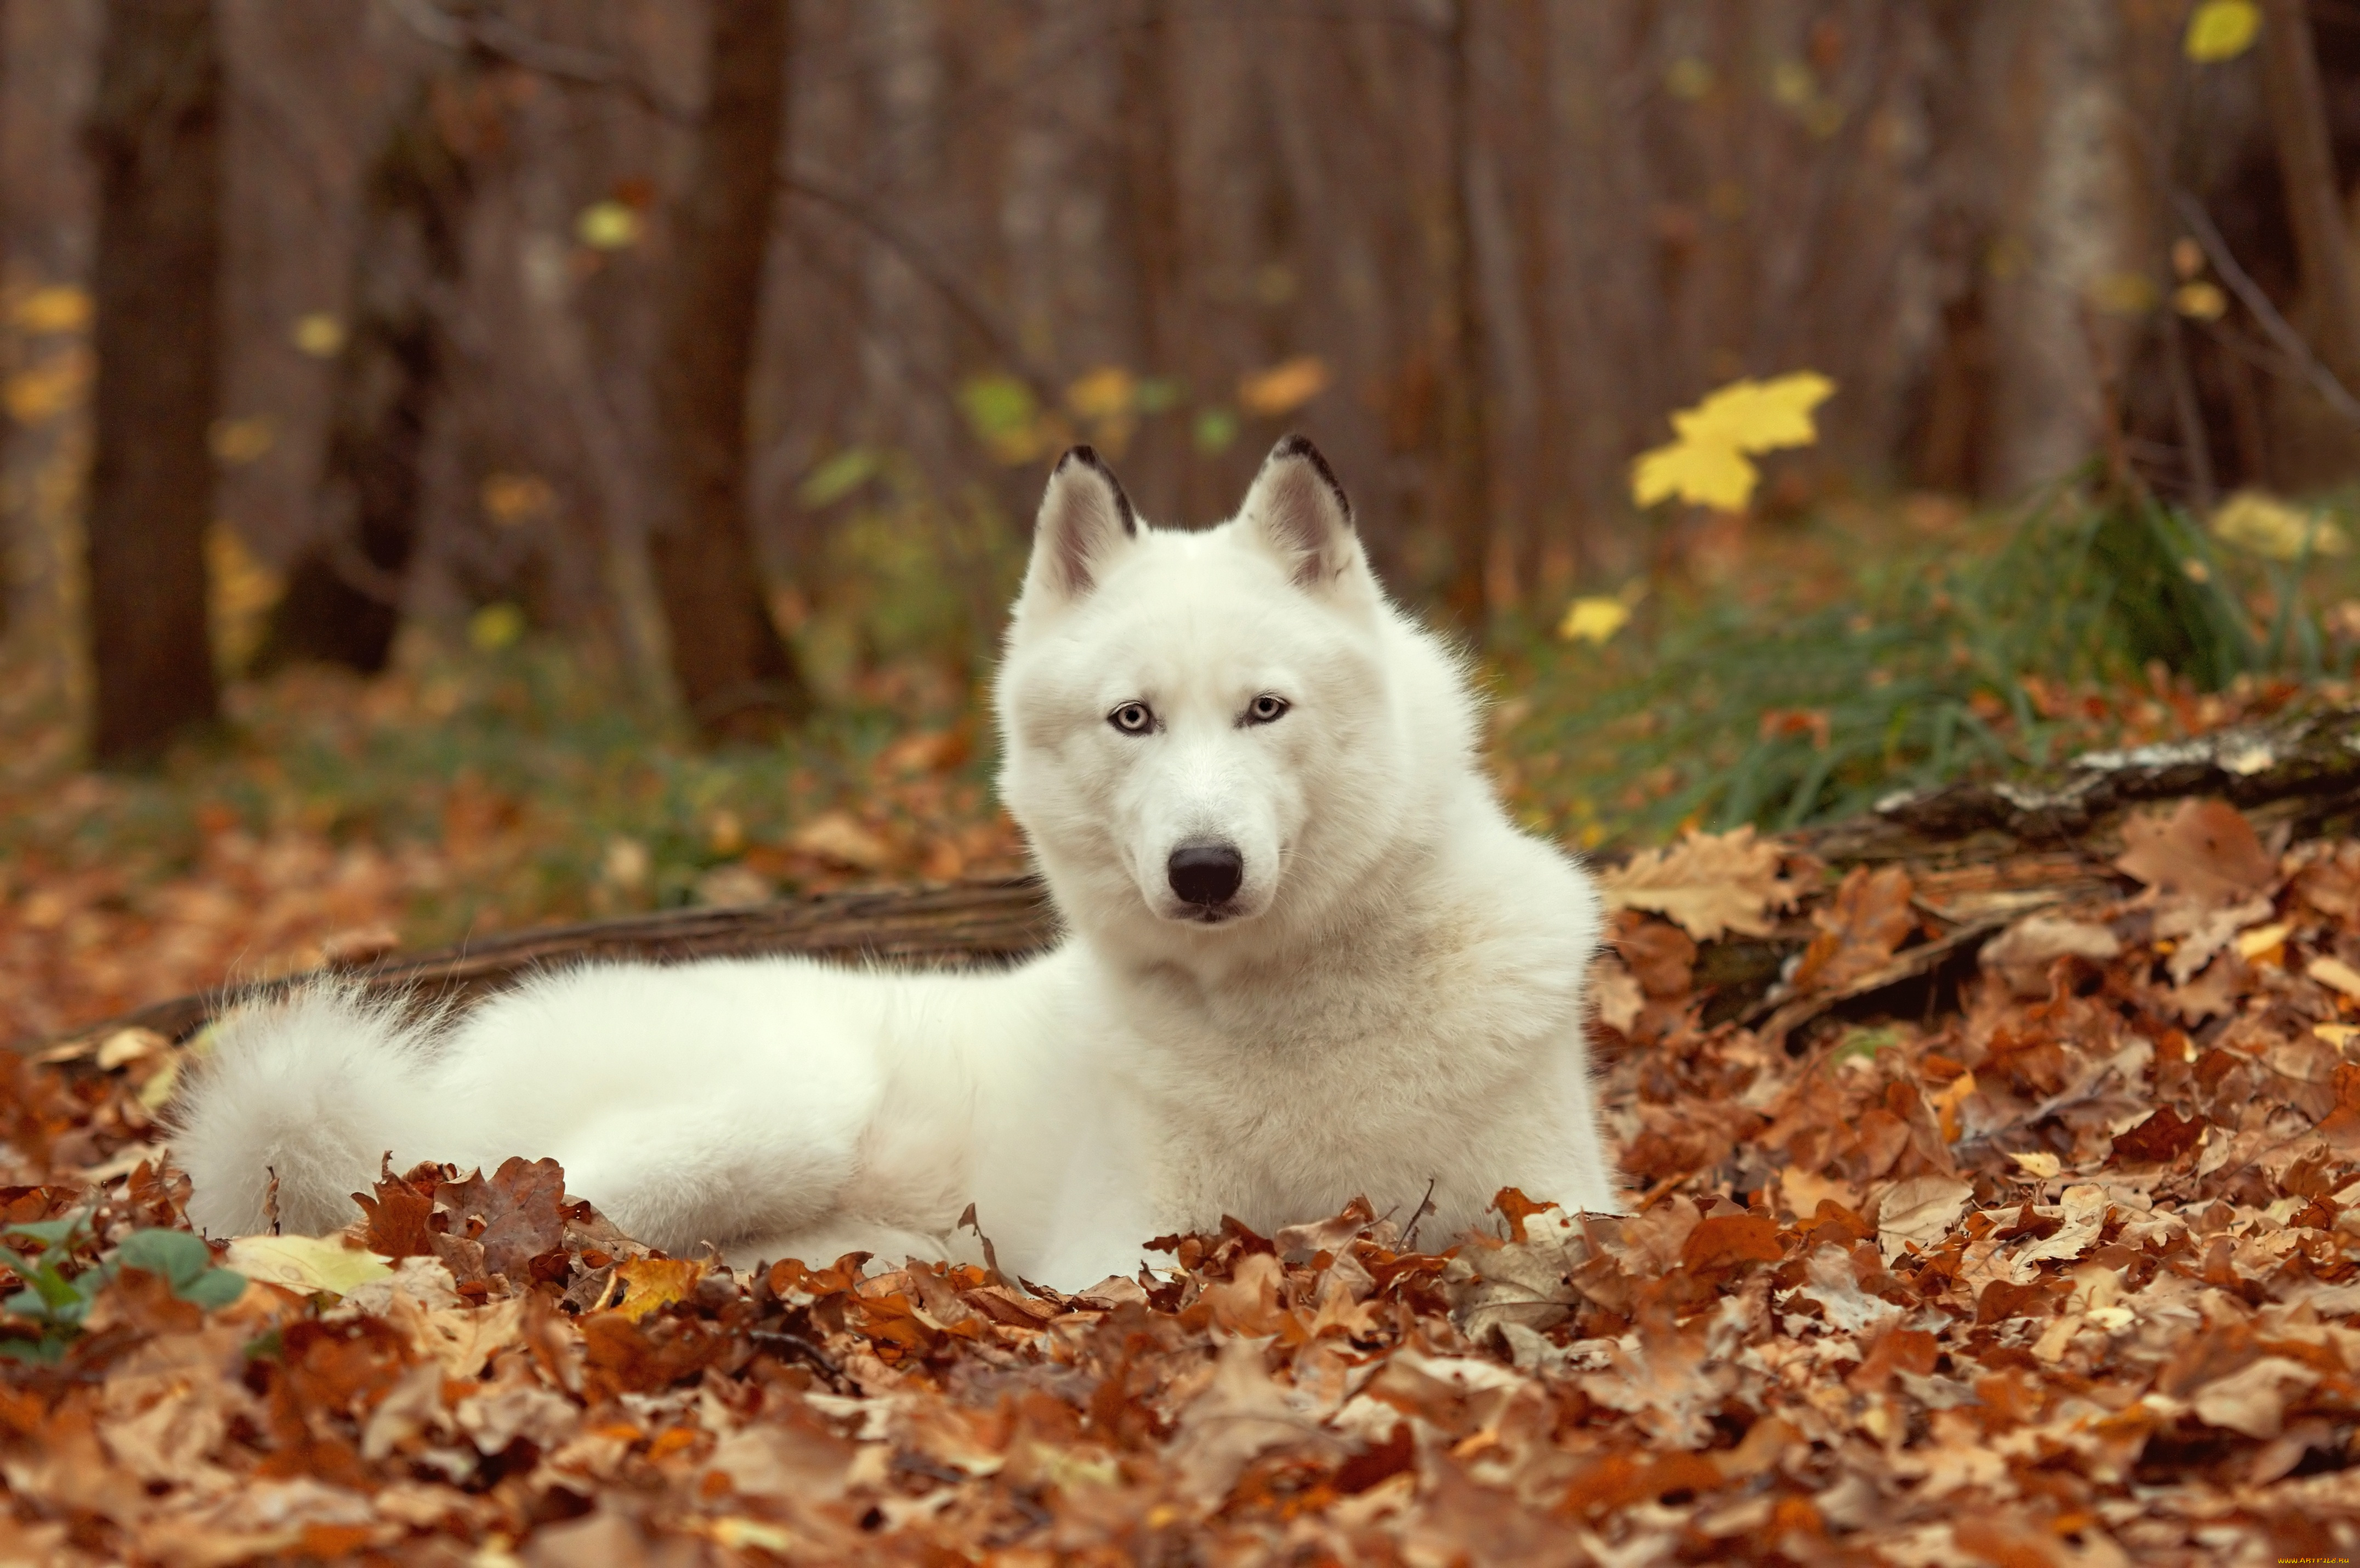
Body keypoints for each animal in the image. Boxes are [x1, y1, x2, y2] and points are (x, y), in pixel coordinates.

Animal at [179, 436, 1624, 1285]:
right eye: (1133, 719)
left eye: (1264, 709)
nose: (1202, 869)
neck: (1297, 1014)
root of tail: (433, 1072)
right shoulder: (1121, 1240)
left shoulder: (1558, 1191)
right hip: (786, 1103)